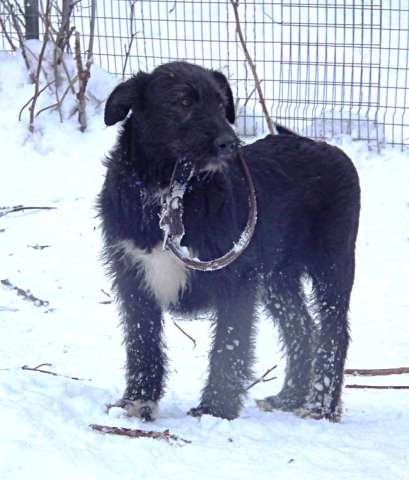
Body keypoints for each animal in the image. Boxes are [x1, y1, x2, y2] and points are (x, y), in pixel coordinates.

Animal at [98, 62, 356, 422]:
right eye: (183, 102)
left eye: (222, 105)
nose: (230, 143)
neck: (171, 193)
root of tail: (328, 147)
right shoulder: (134, 280)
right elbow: (142, 343)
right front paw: (138, 401)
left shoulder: (237, 280)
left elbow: (229, 345)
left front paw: (215, 409)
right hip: (278, 278)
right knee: (302, 328)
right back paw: (289, 397)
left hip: (332, 264)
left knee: (334, 332)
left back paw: (321, 406)